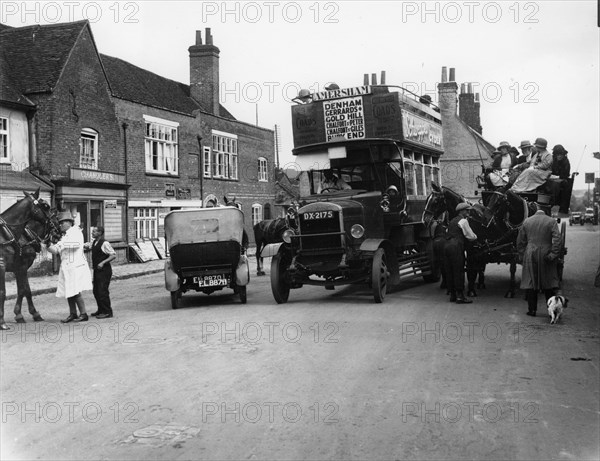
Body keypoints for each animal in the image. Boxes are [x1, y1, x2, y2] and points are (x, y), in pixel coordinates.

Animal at [0, 189, 58, 328]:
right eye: (45, 206)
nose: (58, 233)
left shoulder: (20, 267)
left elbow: (25, 290)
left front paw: (28, 314)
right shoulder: (6, 266)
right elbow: (5, 292)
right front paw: (3, 321)